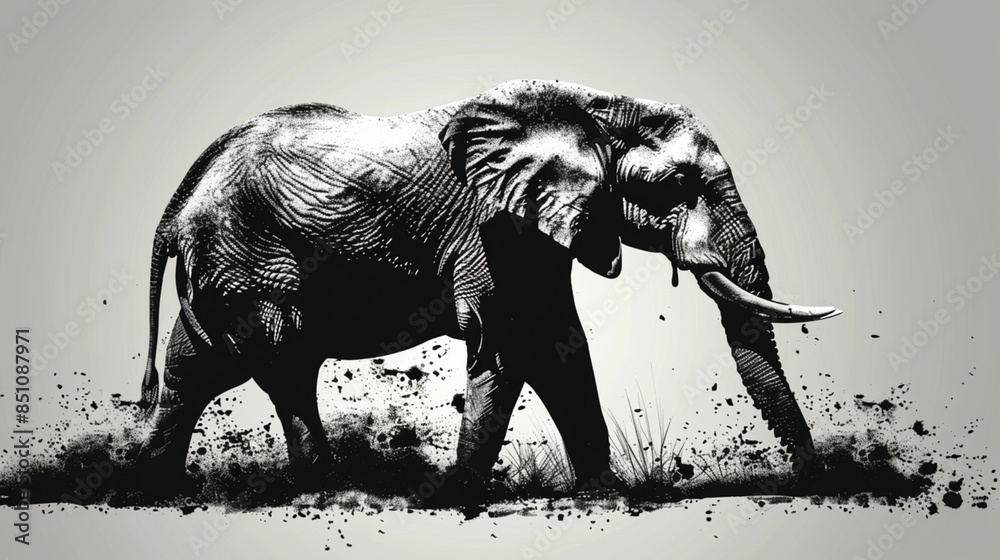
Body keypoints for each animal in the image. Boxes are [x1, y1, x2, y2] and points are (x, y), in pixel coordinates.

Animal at [136, 79, 840, 500]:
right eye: (678, 186)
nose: (814, 484)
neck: (594, 107)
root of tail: (179, 200)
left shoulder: (539, 227)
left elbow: (559, 345)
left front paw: (603, 497)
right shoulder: (492, 227)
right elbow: (509, 342)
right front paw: (461, 500)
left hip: (223, 269)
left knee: (195, 366)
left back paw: (150, 492)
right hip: (250, 262)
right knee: (282, 364)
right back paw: (327, 493)